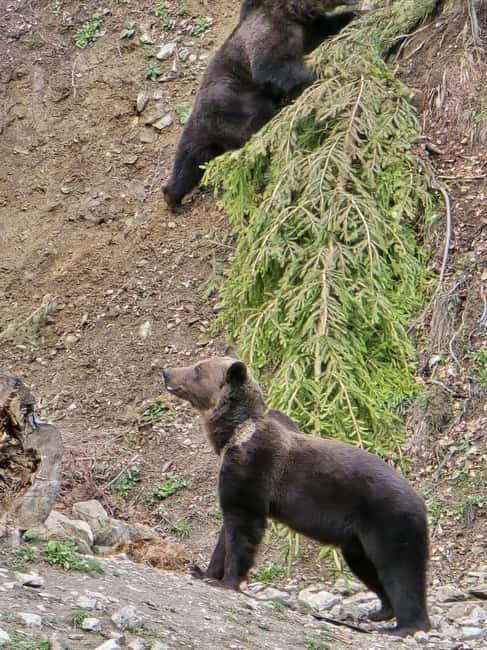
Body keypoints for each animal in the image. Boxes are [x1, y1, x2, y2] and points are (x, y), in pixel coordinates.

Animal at [162, 353, 431, 636]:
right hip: (357, 540)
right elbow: (227, 530)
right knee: (367, 567)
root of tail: (420, 501)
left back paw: (406, 626)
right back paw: (381, 611)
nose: (166, 372)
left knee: (400, 569)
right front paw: (203, 571)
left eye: (197, 369)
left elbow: (244, 526)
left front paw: (228, 581)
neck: (233, 435)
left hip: (388, 520)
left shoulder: (253, 470)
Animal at [163, 0, 360, 211]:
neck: (293, 13)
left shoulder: (307, 29)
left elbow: (326, 28)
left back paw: (173, 197)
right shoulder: (269, 31)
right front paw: (319, 74)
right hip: (235, 104)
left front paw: (356, 15)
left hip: (203, 134)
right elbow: (272, 67)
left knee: (190, 162)